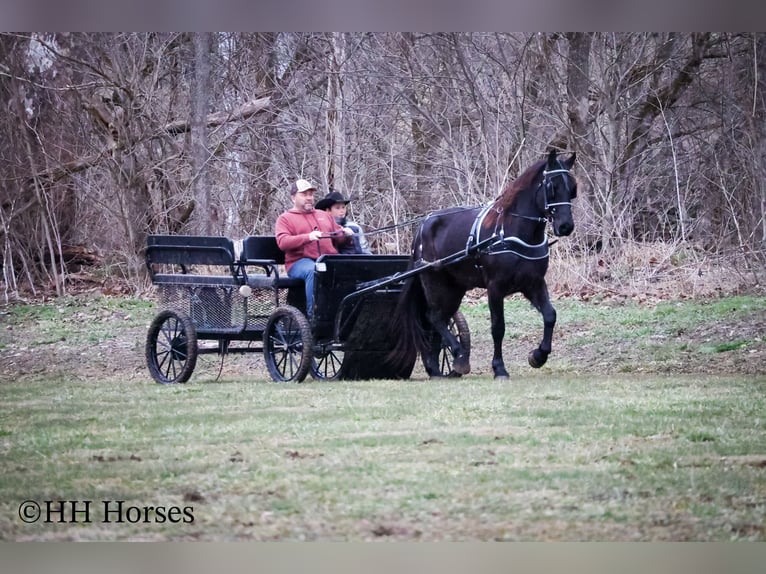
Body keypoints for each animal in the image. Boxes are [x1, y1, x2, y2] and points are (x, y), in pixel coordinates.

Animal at [388, 150, 577, 380]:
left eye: (572, 188)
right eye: (551, 186)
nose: (566, 226)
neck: (510, 232)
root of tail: (422, 226)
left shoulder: (534, 283)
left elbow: (550, 315)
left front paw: (538, 356)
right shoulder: (495, 287)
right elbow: (498, 327)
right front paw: (499, 368)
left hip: (454, 288)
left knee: (435, 322)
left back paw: (436, 369)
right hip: (435, 283)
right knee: (433, 318)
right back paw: (459, 356)